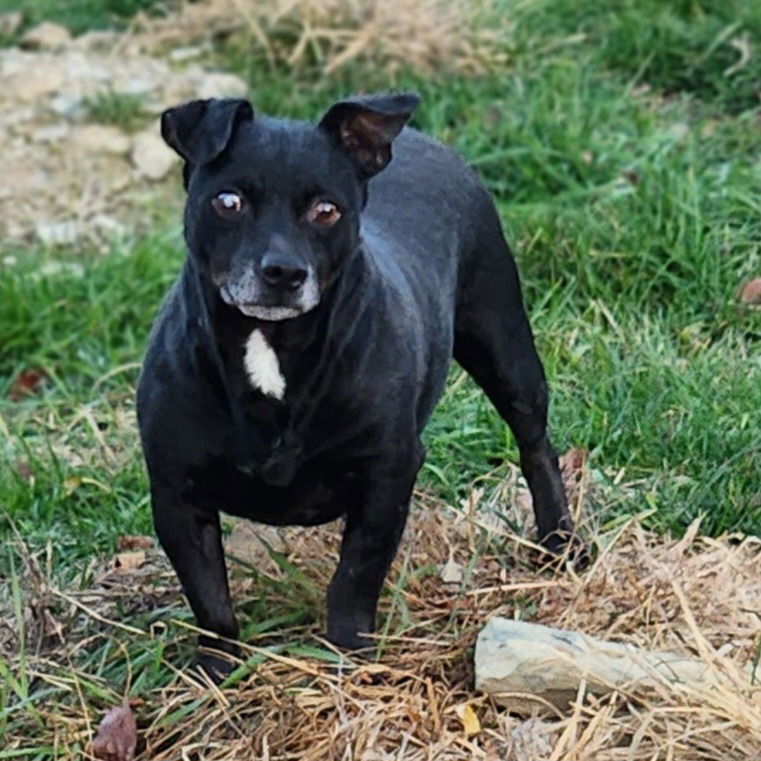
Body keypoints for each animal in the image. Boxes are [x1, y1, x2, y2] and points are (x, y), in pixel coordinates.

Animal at [137, 90, 580, 676]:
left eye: (327, 211)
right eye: (228, 202)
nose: (283, 271)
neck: (272, 349)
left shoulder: (387, 474)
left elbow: (355, 575)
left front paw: (348, 652)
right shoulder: (176, 492)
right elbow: (209, 597)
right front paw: (218, 669)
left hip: (504, 345)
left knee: (534, 443)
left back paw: (561, 540)